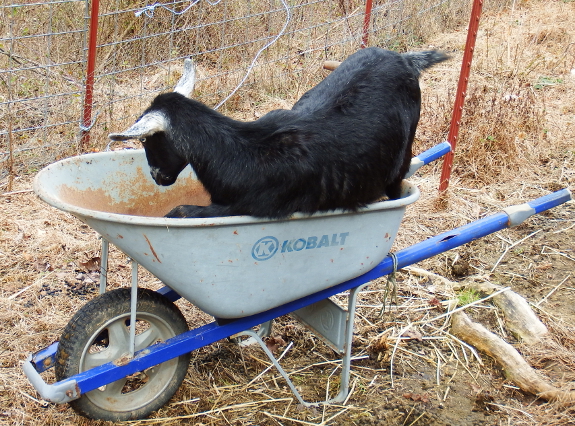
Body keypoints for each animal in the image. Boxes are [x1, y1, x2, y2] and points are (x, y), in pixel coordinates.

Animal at [109, 48, 450, 218]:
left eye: (147, 140)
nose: (156, 177)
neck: (242, 152)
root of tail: (404, 59)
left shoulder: (244, 208)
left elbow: (180, 211)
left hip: (399, 163)